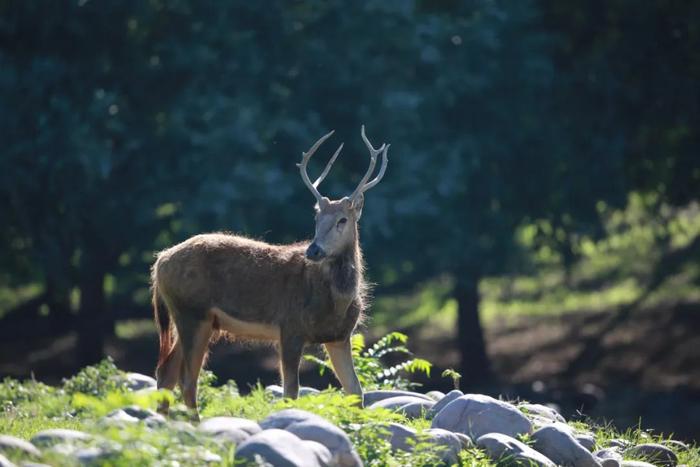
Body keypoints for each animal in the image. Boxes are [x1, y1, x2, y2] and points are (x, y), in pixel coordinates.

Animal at [150, 126, 388, 418]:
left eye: (342, 219)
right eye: (317, 218)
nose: (313, 250)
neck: (336, 302)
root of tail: (159, 262)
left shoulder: (340, 336)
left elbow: (356, 392)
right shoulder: (290, 327)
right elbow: (290, 392)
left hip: (192, 318)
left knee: (167, 373)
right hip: (192, 312)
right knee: (186, 379)